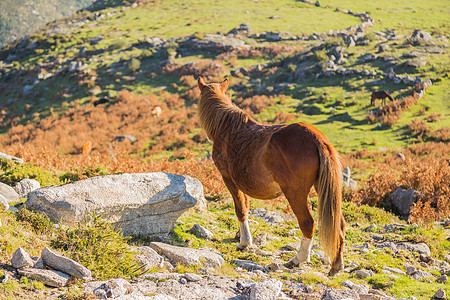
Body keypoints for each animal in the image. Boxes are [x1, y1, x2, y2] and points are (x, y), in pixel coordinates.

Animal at [197, 76, 344, 276]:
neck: (227, 128)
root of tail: (318, 140)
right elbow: (246, 206)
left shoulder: (228, 178)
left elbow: (240, 209)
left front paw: (244, 242)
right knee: (339, 224)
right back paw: (336, 265)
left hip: (295, 194)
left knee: (308, 223)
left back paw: (298, 259)